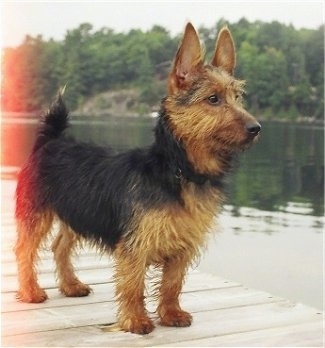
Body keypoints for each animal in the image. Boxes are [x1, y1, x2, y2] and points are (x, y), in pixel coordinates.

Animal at [15, 22, 260, 334]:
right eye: (213, 99)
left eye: (238, 97)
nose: (256, 127)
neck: (178, 172)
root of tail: (51, 141)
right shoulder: (136, 244)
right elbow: (133, 283)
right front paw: (136, 321)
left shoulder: (183, 245)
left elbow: (172, 283)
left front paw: (171, 313)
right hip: (37, 214)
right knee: (24, 251)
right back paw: (30, 291)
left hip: (76, 212)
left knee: (60, 247)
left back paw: (71, 286)